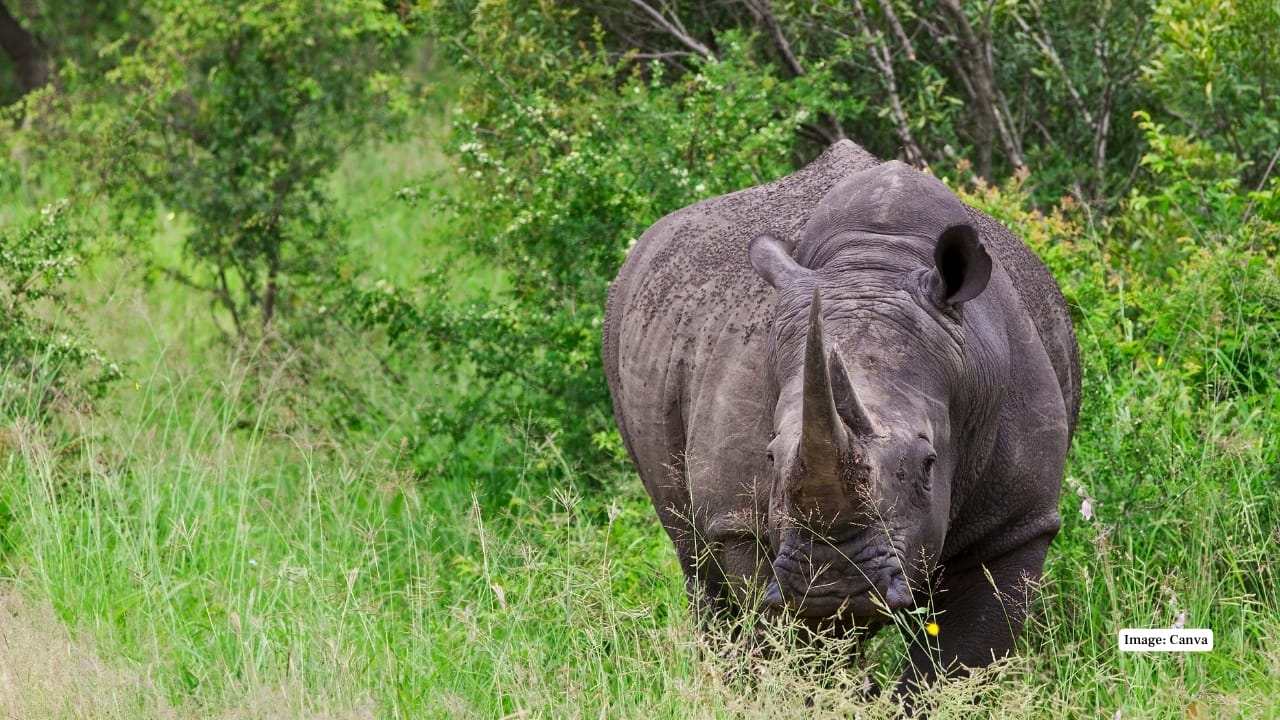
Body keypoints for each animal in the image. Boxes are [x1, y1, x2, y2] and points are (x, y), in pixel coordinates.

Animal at [603, 140, 1080, 691]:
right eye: (769, 457)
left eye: (929, 465)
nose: (832, 579)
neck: (875, 268)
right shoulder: (740, 525)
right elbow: (794, 650)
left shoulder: (1015, 523)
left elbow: (958, 663)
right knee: (697, 563)